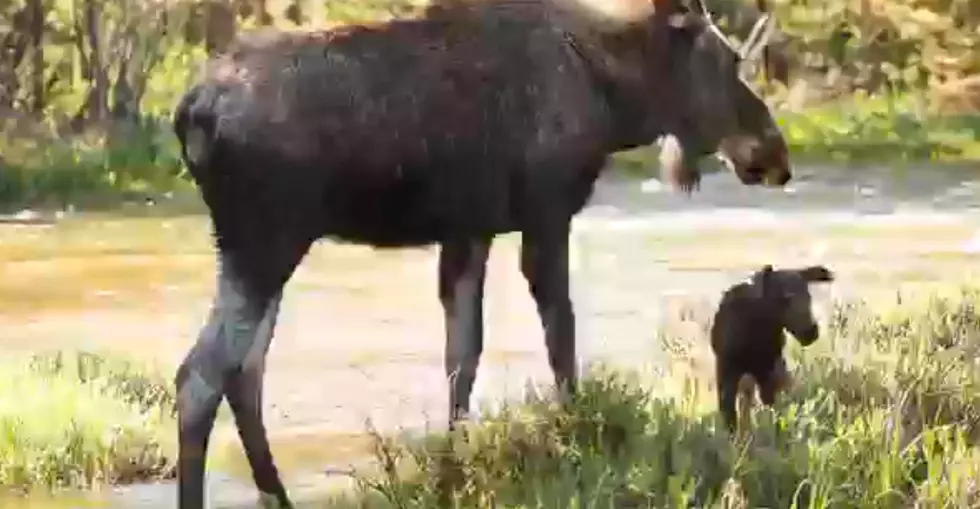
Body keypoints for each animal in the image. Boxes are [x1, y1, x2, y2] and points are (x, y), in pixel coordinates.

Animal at [172, 0, 792, 506]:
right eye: (728, 61)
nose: (775, 154)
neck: (613, 97)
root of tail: (189, 114)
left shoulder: (470, 231)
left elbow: (462, 357)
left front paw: (452, 474)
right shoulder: (546, 213)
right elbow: (561, 343)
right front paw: (577, 444)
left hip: (265, 249)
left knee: (243, 374)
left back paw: (279, 496)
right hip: (266, 241)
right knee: (200, 377)